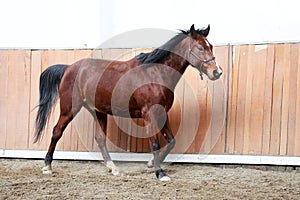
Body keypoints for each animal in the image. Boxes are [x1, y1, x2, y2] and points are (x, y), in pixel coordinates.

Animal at [34, 23, 223, 181]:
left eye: (211, 46)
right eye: (200, 47)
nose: (217, 72)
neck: (155, 73)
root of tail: (69, 68)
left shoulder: (162, 113)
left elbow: (171, 141)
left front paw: (150, 164)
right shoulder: (149, 114)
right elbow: (155, 143)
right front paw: (159, 172)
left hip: (98, 111)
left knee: (100, 139)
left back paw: (113, 168)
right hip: (69, 109)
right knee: (56, 131)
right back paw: (47, 166)